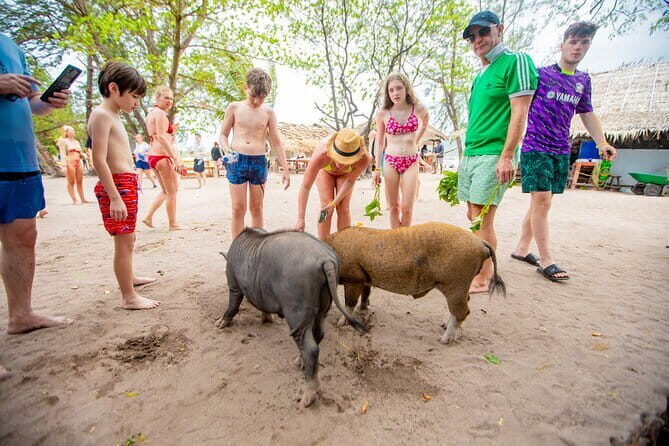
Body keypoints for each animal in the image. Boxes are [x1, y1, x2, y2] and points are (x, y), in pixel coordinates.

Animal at [215, 227, 367, 407]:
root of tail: (326, 260)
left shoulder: (234, 286)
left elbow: (232, 305)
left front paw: (219, 324)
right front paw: (267, 320)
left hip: (296, 309)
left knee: (309, 347)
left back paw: (307, 398)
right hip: (324, 304)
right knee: (318, 334)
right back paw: (298, 362)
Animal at [324, 222, 506, 344]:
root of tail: (480, 243)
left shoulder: (354, 279)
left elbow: (349, 303)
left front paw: (339, 324)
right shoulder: (365, 280)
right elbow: (365, 295)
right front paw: (364, 308)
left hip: (456, 284)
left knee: (463, 311)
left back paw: (443, 340)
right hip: (461, 286)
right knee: (463, 306)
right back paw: (444, 327)